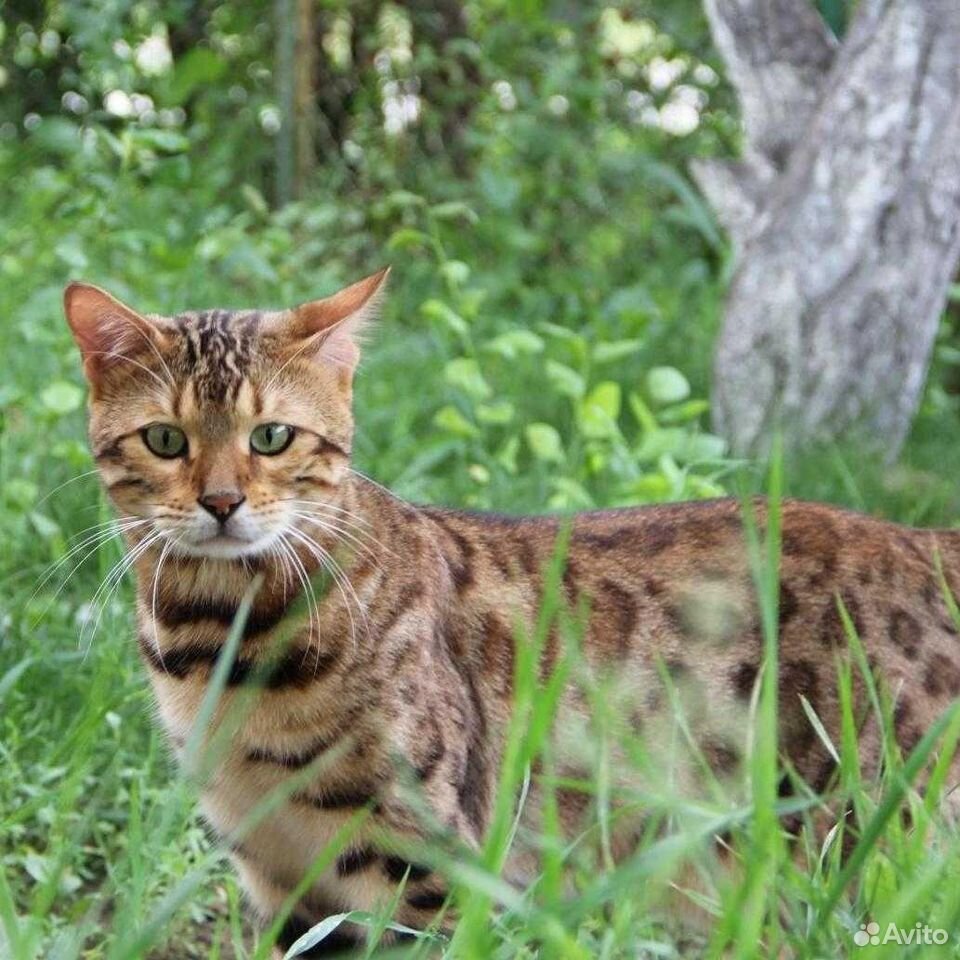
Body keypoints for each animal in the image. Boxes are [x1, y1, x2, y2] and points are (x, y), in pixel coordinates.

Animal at [65, 274, 960, 956]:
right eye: (166, 440)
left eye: (273, 437)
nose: (221, 502)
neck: (226, 645)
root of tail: (923, 538)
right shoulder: (281, 876)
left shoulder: (423, 864)